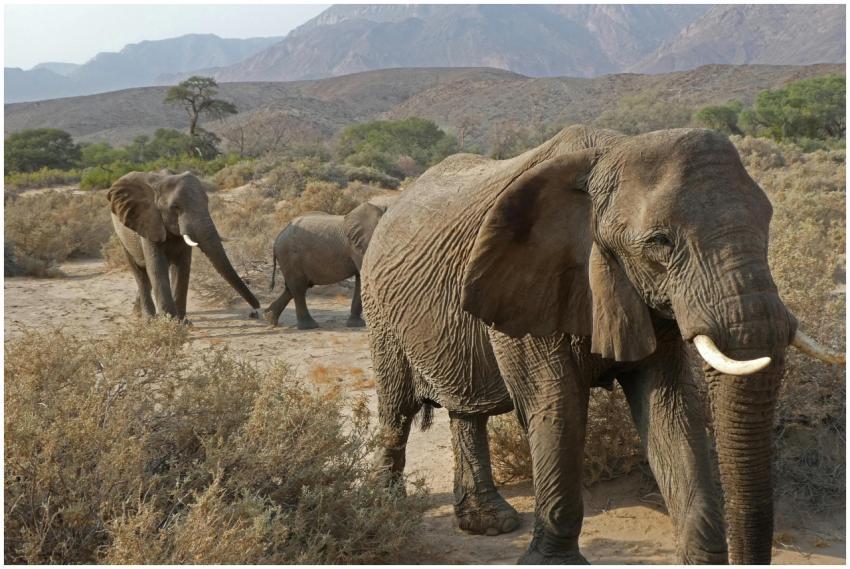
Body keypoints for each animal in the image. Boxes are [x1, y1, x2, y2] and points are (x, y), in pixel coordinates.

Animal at [107, 170, 260, 321]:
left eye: (207, 202)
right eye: (175, 207)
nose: (255, 310)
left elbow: (183, 266)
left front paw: (182, 323)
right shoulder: (149, 222)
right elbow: (157, 268)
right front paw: (170, 322)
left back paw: (138, 314)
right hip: (122, 236)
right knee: (140, 273)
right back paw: (148, 319)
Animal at [360, 125, 843, 564]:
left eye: (768, 222)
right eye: (660, 242)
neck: (609, 154)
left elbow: (672, 410)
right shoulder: (534, 278)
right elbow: (558, 408)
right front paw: (551, 564)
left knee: (465, 410)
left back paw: (490, 524)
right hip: (379, 309)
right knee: (397, 409)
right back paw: (387, 509)